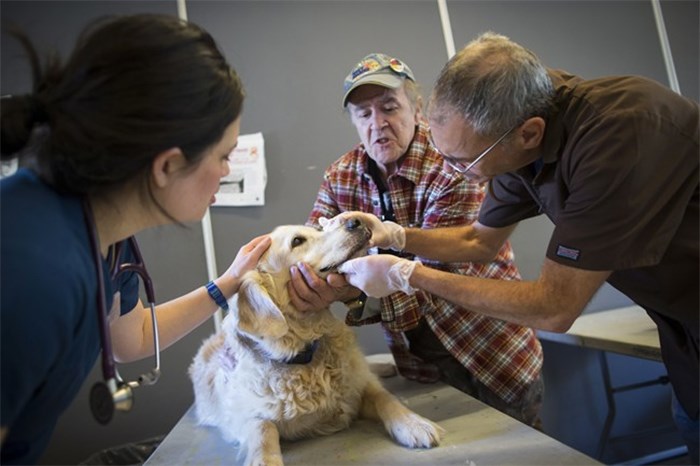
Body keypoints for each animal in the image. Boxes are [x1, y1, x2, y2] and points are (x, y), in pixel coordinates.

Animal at [190, 218, 442, 466]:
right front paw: (264, 461)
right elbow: (263, 429)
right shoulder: (242, 417)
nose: (356, 221)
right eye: (297, 241)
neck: (306, 354)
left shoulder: (360, 388)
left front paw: (414, 424)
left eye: (319, 229)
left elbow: (385, 397)